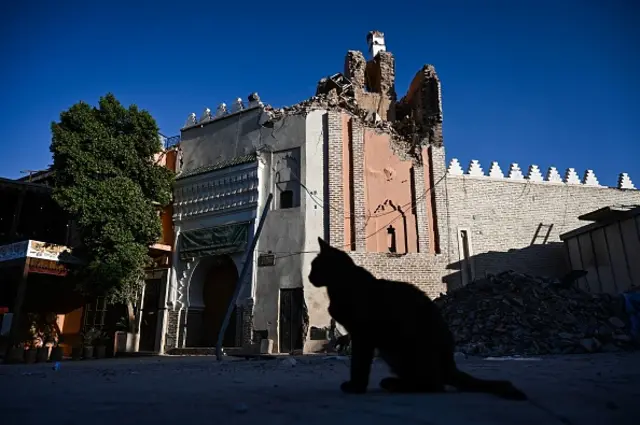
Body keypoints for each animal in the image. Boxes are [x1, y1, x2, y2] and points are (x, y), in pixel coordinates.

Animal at [308, 237, 528, 400]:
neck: (340, 285)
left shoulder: (363, 335)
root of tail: (449, 365)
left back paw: (396, 384)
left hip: (400, 346)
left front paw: (356, 387)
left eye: (315, 266)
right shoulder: (358, 334)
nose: (309, 277)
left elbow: (359, 364)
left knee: (433, 385)